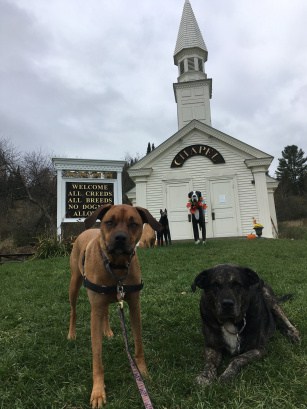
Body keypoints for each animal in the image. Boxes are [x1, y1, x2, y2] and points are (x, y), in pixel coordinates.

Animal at [68, 202, 162, 406]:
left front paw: (142, 373)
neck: (116, 266)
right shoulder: (94, 311)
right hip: (74, 284)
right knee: (73, 310)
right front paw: (97, 391)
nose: (120, 238)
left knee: (106, 312)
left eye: (133, 223)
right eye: (109, 222)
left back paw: (108, 331)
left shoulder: (134, 306)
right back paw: (71, 334)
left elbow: (138, 344)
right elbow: (97, 356)